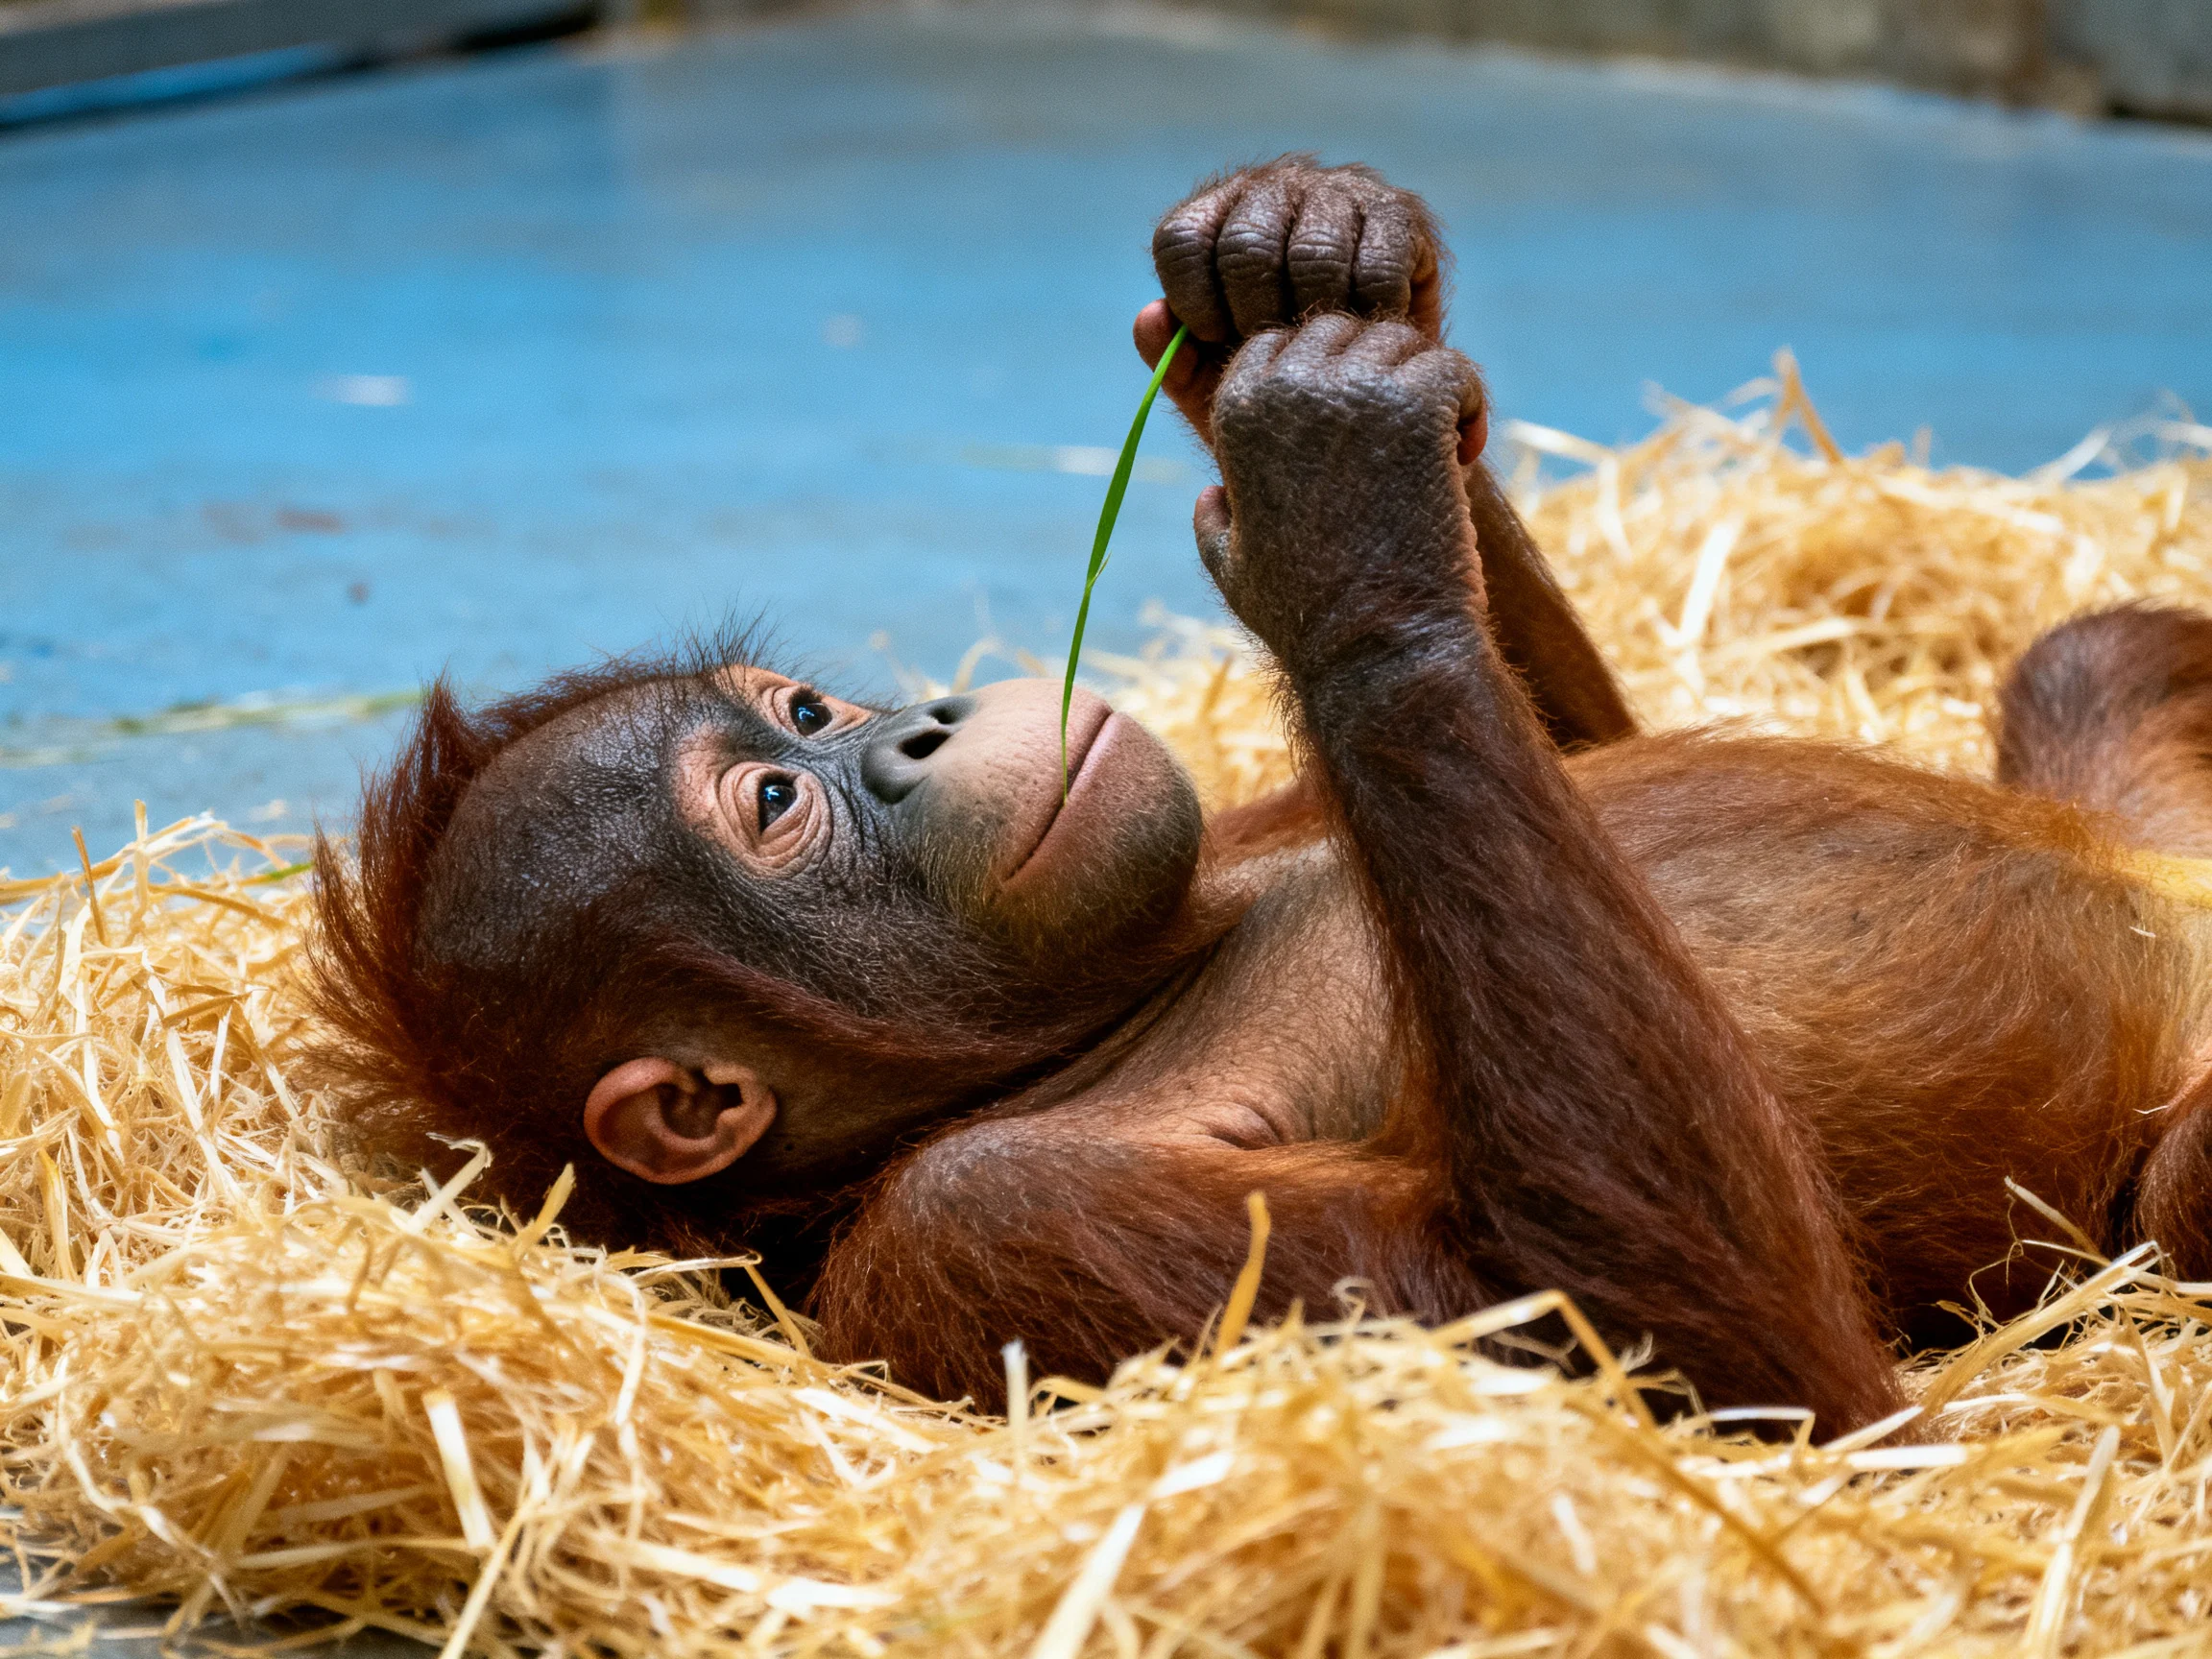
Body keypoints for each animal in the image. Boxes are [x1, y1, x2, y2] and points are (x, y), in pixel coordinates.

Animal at [311, 158, 2212, 1435]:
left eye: (804, 707)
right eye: (778, 805)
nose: (914, 726)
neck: (1117, 1002)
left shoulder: (1210, 823)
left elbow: (1580, 742)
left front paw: (1283, 272)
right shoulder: (978, 1224)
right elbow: (1734, 1378)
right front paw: (1340, 520)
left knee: (2082, 654)